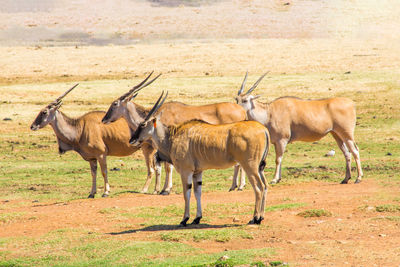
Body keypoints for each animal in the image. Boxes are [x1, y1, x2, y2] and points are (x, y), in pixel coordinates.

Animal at [130, 92, 270, 226]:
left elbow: (186, 194)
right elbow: (198, 193)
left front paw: (185, 219)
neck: (173, 136)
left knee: (259, 187)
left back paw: (255, 218)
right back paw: (261, 216)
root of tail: (263, 129)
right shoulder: (198, 172)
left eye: (143, 124)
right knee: (265, 186)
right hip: (260, 168)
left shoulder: (186, 171)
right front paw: (197, 218)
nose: (132, 140)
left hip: (250, 167)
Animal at [234, 74, 362, 186]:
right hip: (336, 134)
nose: (238, 109)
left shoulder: (282, 140)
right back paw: (345, 179)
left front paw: (274, 179)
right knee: (347, 153)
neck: (269, 112)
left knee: (355, 150)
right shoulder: (277, 143)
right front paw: (279, 178)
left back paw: (358, 178)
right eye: (237, 99)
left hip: (346, 134)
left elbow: (278, 159)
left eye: (245, 100)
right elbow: (280, 159)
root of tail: (351, 103)